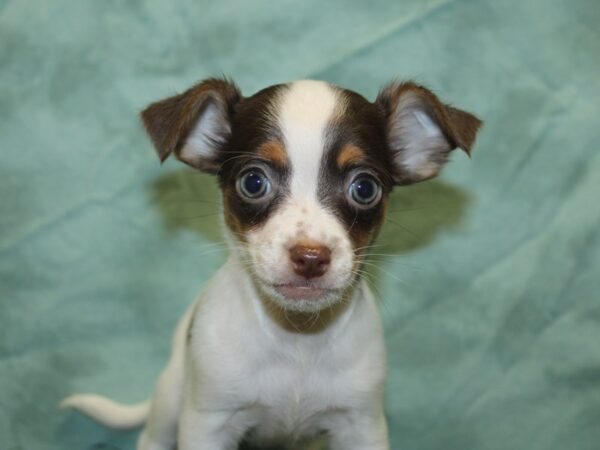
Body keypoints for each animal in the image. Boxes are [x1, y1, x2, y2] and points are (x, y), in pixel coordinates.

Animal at [62, 78, 482, 450]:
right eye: (253, 182)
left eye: (365, 188)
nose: (310, 257)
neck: (297, 339)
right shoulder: (208, 424)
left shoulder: (361, 424)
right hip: (171, 397)